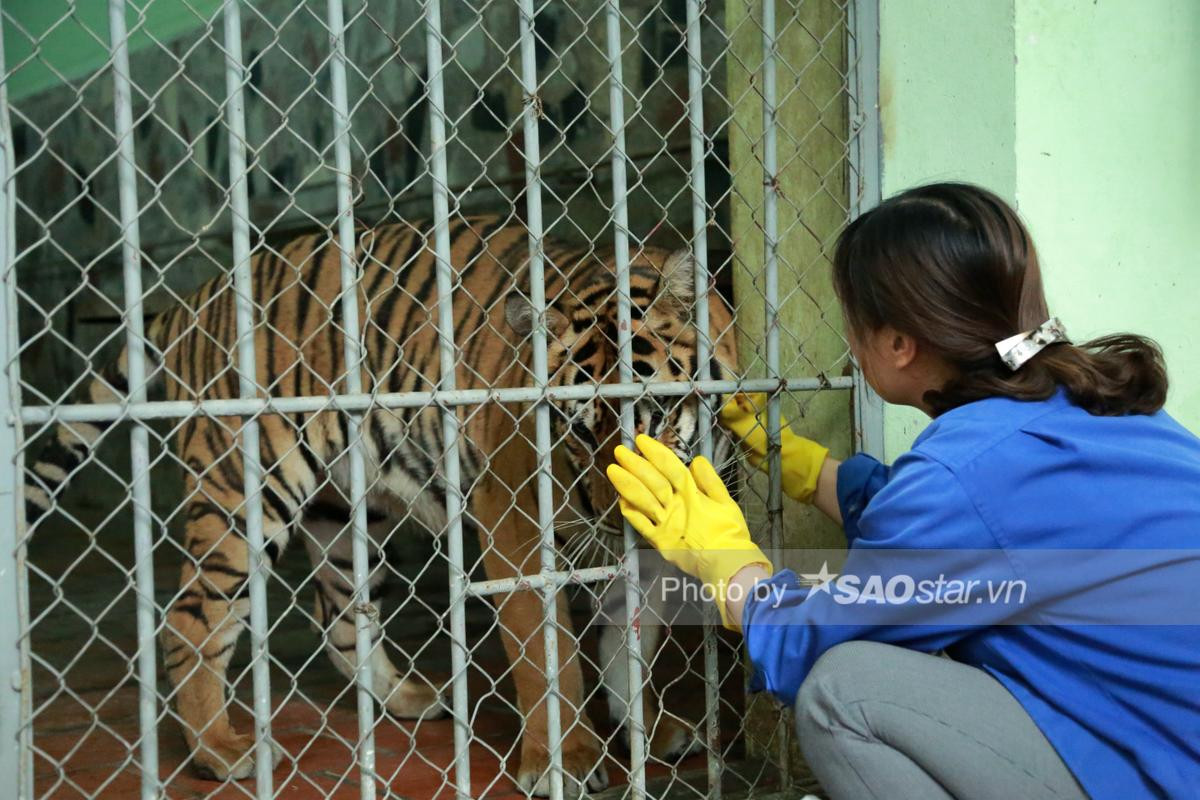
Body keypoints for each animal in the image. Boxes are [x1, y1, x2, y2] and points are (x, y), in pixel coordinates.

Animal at [23, 214, 739, 796]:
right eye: (576, 431)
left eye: (652, 420)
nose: (609, 516)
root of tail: (195, 300)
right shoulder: (512, 525)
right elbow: (547, 656)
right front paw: (564, 761)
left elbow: (630, 639)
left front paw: (649, 728)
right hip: (244, 494)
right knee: (192, 620)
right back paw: (223, 753)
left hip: (345, 513)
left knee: (340, 615)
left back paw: (410, 699)